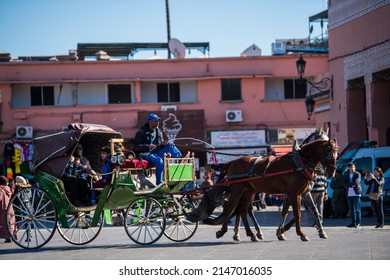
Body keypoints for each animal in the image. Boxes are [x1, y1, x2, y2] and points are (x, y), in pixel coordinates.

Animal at [189, 139, 338, 242]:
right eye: (329, 153)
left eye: (337, 152)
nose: (332, 172)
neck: (300, 163)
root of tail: (233, 162)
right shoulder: (294, 193)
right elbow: (297, 214)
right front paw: (300, 234)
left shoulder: (303, 193)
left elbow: (314, 211)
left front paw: (320, 231)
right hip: (238, 189)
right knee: (230, 207)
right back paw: (223, 231)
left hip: (248, 191)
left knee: (243, 210)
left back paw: (251, 234)